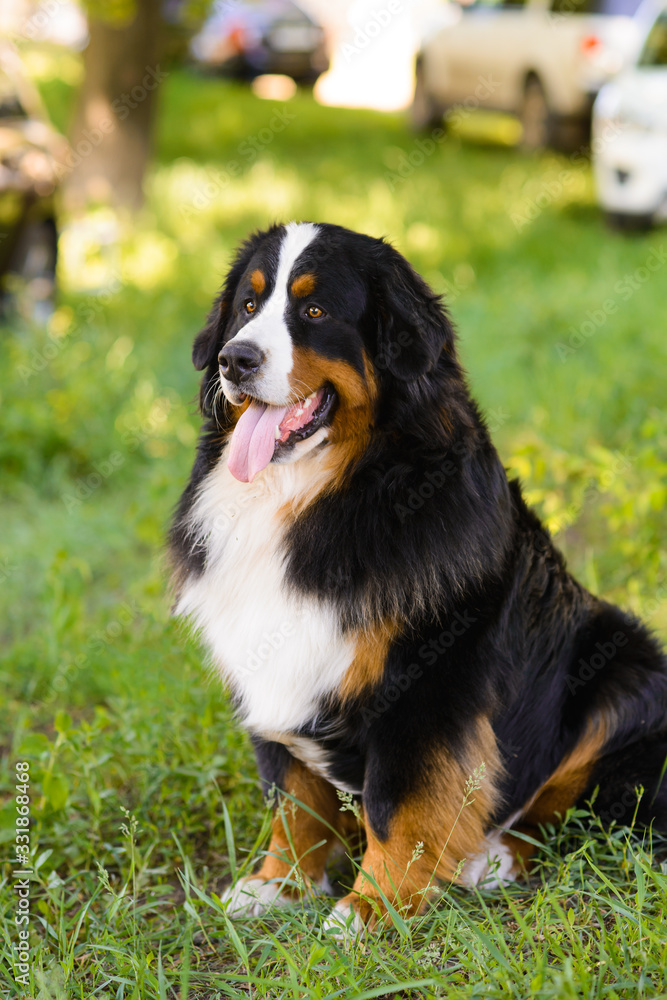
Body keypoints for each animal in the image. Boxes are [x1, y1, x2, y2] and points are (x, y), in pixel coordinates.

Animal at [170, 221, 667, 936]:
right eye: (247, 304)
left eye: (314, 312)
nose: (234, 360)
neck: (323, 495)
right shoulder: (270, 665)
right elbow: (293, 794)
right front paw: (281, 884)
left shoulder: (428, 682)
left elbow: (397, 801)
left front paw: (372, 908)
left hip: (625, 667)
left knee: (571, 802)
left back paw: (492, 858)